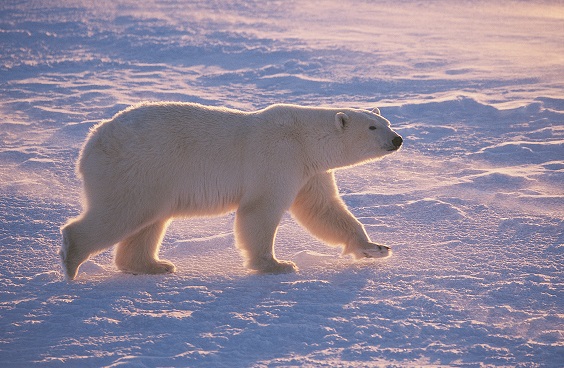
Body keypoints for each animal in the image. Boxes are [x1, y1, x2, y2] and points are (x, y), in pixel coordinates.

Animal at [59, 100, 404, 278]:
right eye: (373, 127)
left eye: (387, 122)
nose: (398, 139)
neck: (304, 138)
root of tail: (91, 142)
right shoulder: (278, 157)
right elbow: (260, 209)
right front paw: (277, 265)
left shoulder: (309, 171)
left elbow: (324, 209)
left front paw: (376, 247)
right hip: (137, 169)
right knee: (122, 212)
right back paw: (71, 260)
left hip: (153, 179)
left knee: (149, 220)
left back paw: (153, 265)